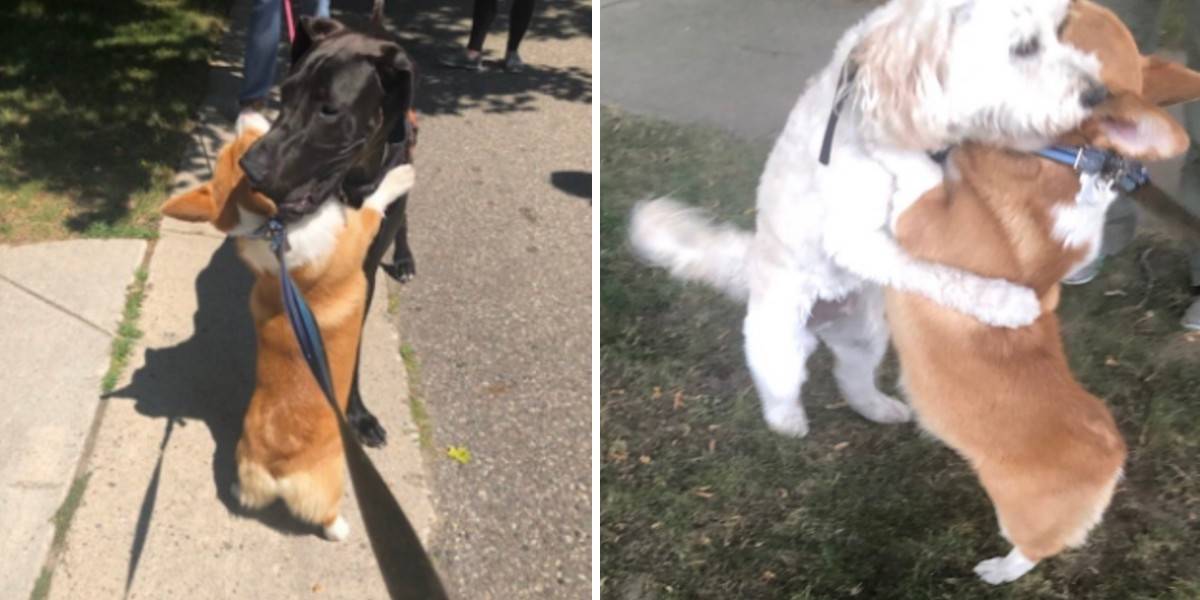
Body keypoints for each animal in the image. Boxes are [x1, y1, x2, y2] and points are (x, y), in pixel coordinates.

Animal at [238, 2, 417, 448]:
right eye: (285, 93)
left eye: (330, 110)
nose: (250, 167)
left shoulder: (363, 273)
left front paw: (356, 413)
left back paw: (405, 258)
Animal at [628, 0, 1104, 436]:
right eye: (1024, 47)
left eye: (1060, 30)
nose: (1097, 93)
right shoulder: (858, 240)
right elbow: (938, 272)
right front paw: (1005, 301)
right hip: (779, 344)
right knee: (778, 389)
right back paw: (789, 423)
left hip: (866, 334)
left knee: (851, 377)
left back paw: (878, 407)